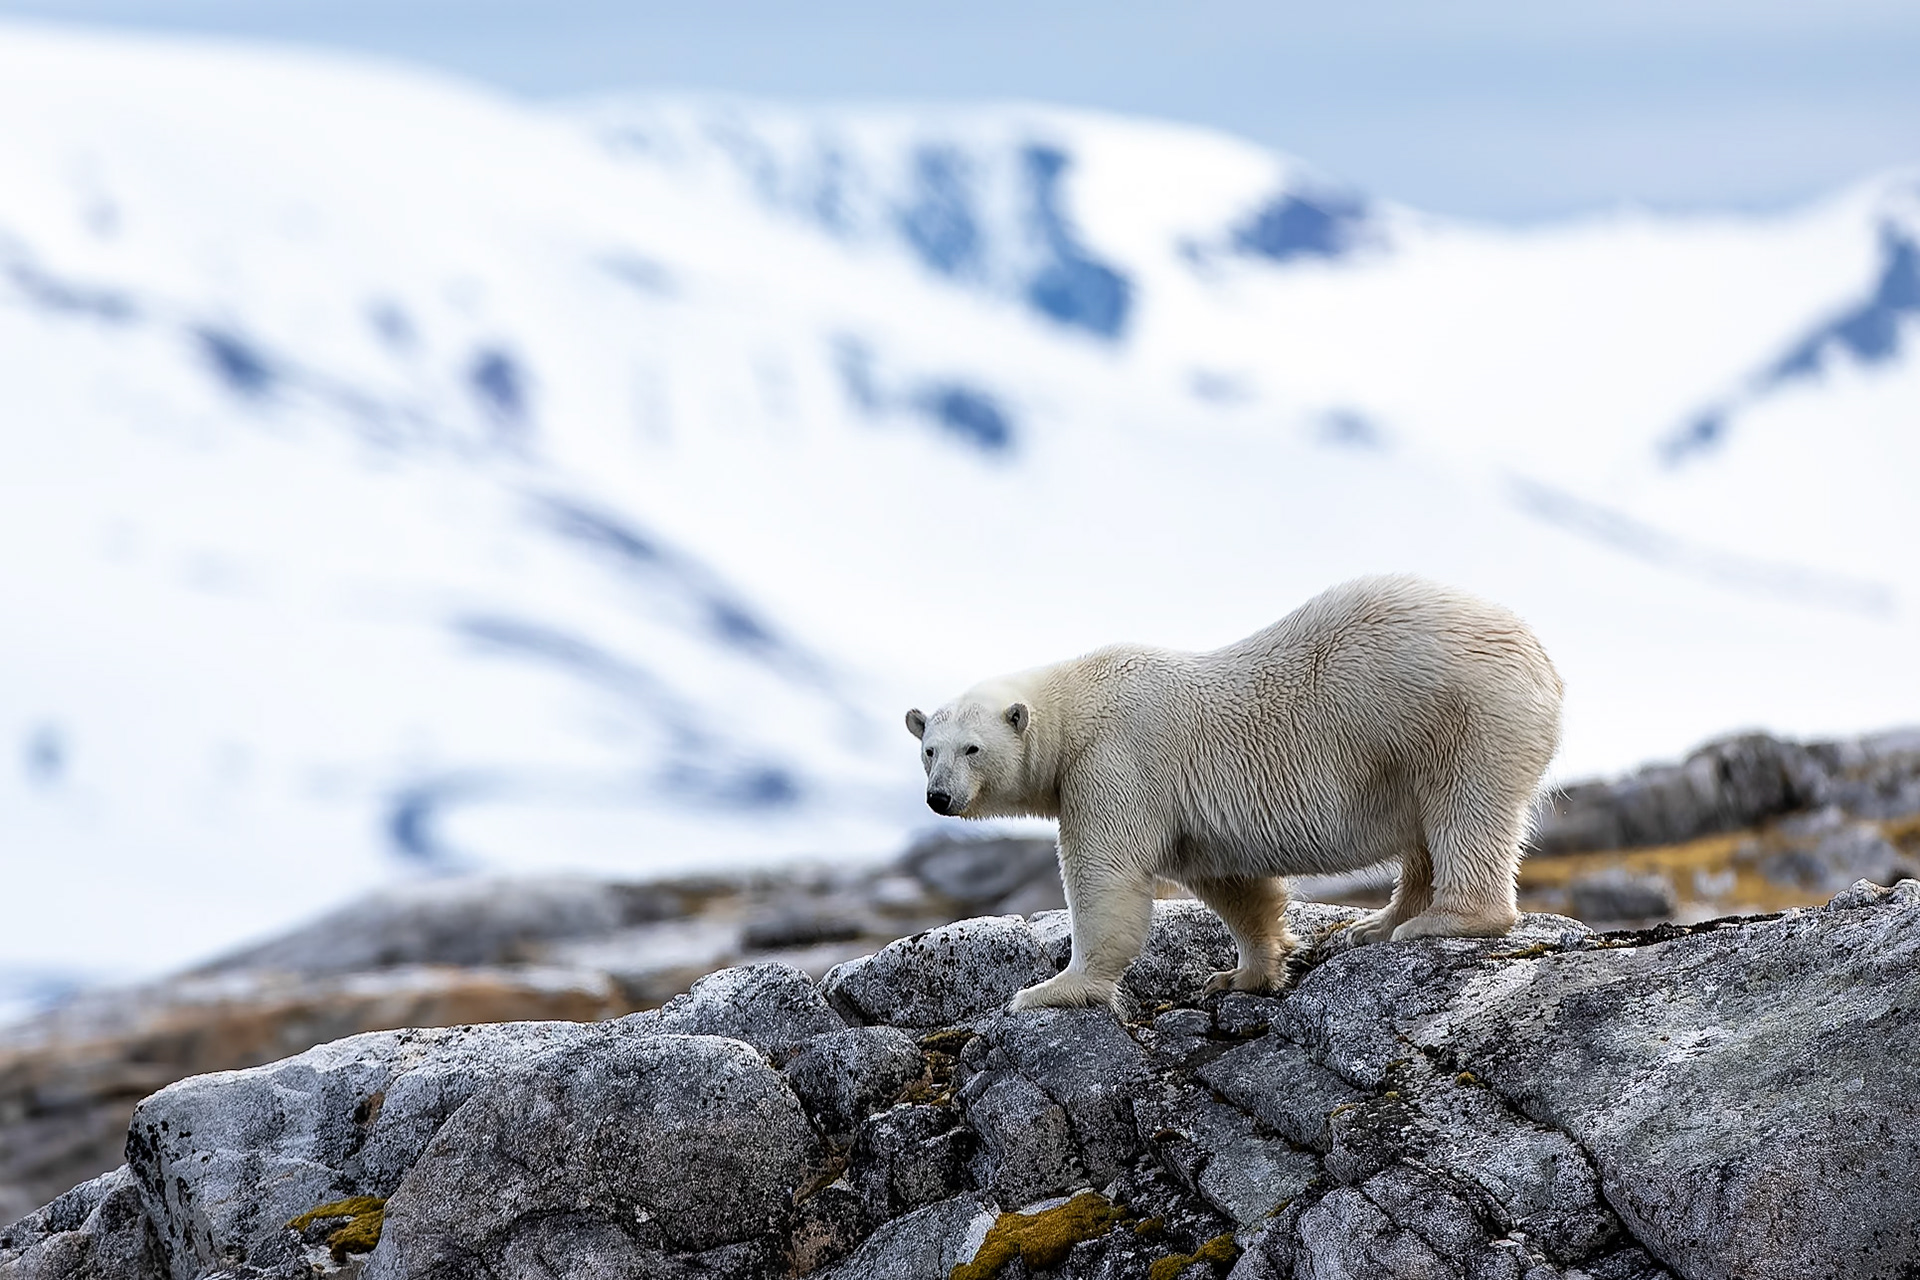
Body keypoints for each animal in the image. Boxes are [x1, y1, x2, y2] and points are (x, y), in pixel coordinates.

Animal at [905, 574, 1563, 1012]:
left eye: (972, 748)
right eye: (929, 749)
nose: (939, 798)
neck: (1076, 703)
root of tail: (1539, 655)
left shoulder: (1114, 759)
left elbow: (1105, 877)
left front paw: (1048, 990)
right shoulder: (1188, 813)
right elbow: (1232, 884)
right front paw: (1241, 973)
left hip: (1459, 715)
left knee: (1465, 809)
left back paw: (1442, 921)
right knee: (1427, 831)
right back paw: (1375, 925)